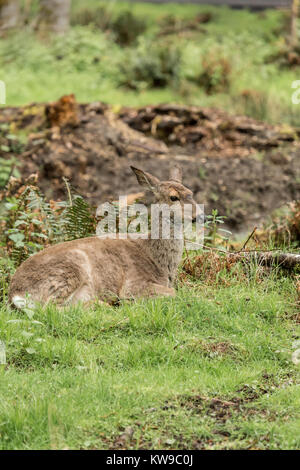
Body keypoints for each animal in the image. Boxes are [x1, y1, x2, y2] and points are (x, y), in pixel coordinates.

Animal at [8, 165, 198, 308]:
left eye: (191, 192)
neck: (159, 263)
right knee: (51, 308)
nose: (200, 216)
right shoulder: (133, 284)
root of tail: (15, 293)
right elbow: (173, 293)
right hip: (70, 268)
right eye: (173, 197)